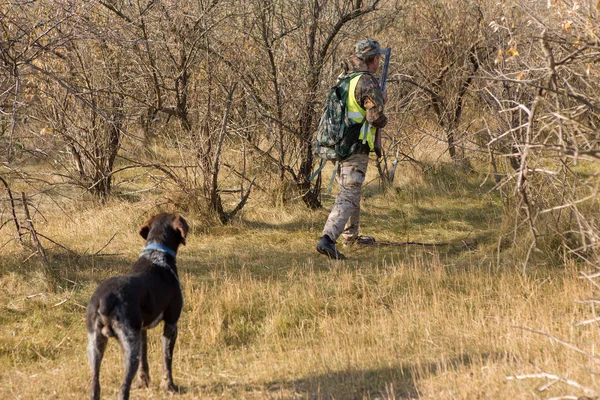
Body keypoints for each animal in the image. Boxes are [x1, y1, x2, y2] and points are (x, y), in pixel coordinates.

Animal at [85, 214, 189, 400]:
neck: (157, 254)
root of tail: (106, 299)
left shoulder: (142, 330)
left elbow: (144, 361)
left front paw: (143, 382)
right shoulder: (171, 324)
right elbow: (167, 360)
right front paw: (169, 386)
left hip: (95, 345)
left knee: (95, 387)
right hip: (129, 345)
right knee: (123, 388)